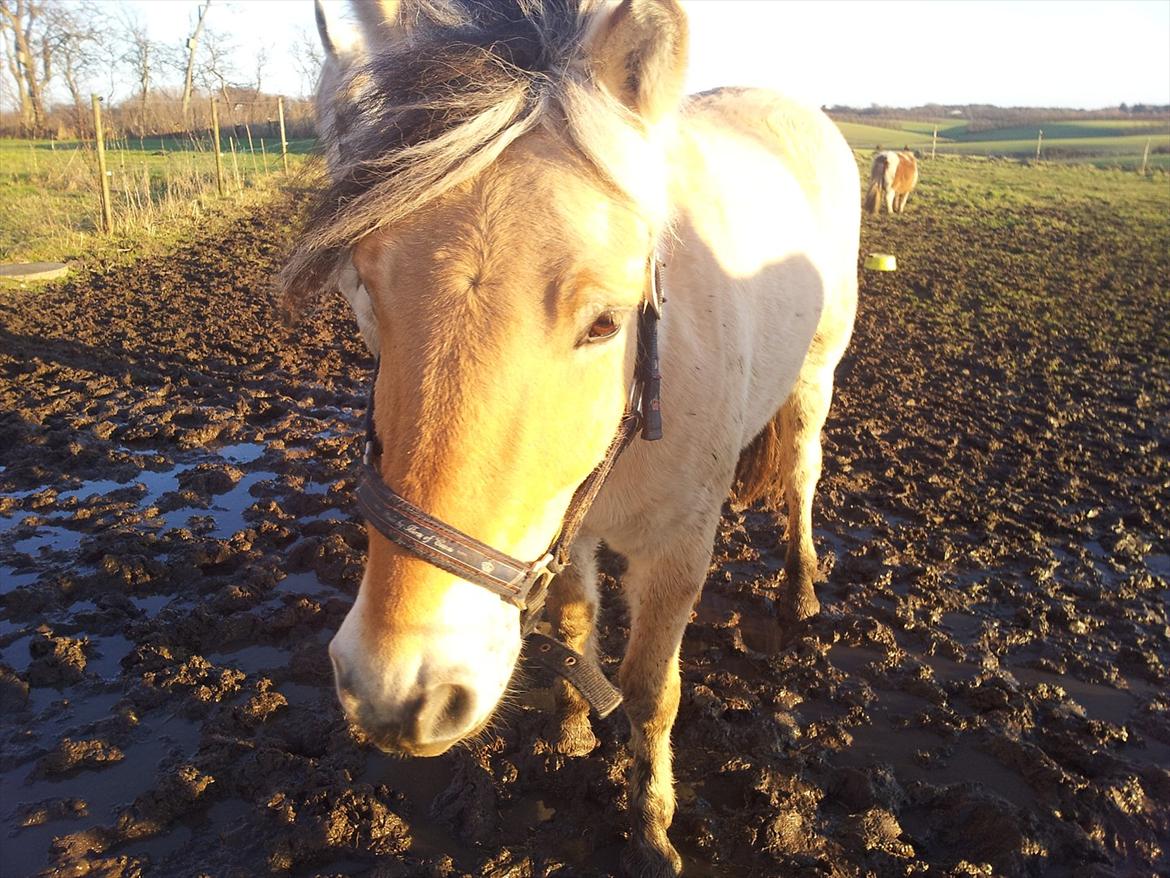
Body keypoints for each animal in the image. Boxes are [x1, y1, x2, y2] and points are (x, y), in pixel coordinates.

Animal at [290, 3, 861, 875]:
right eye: (367, 296)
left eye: (604, 323)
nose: (399, 692)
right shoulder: (558, 530)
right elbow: (569, 621)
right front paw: (567, 726)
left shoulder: (678, 549)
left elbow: (652, 690)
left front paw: (651, 829)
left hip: (814, 378)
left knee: (801, 475)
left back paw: (800, 590)